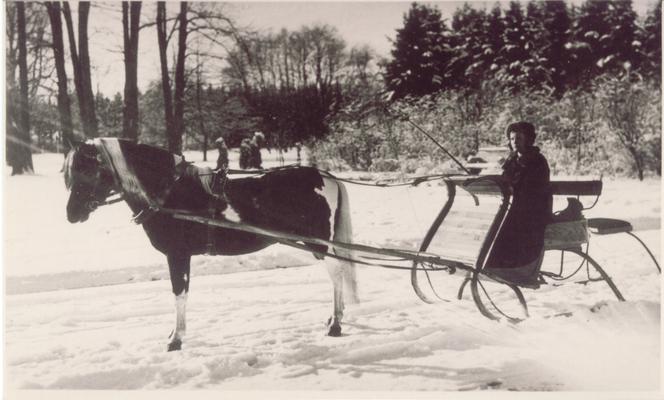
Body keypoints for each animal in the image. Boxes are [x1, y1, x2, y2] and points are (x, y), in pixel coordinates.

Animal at [63, 139, 358, 352]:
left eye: (87, 170)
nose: (71, 214)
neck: (170, 193)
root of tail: (326, 177)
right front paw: (174, 334)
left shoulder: (178, 255)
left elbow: (179, 294)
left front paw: (176, 340)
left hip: (318, 244)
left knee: (337, 274)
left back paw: (335, 324)